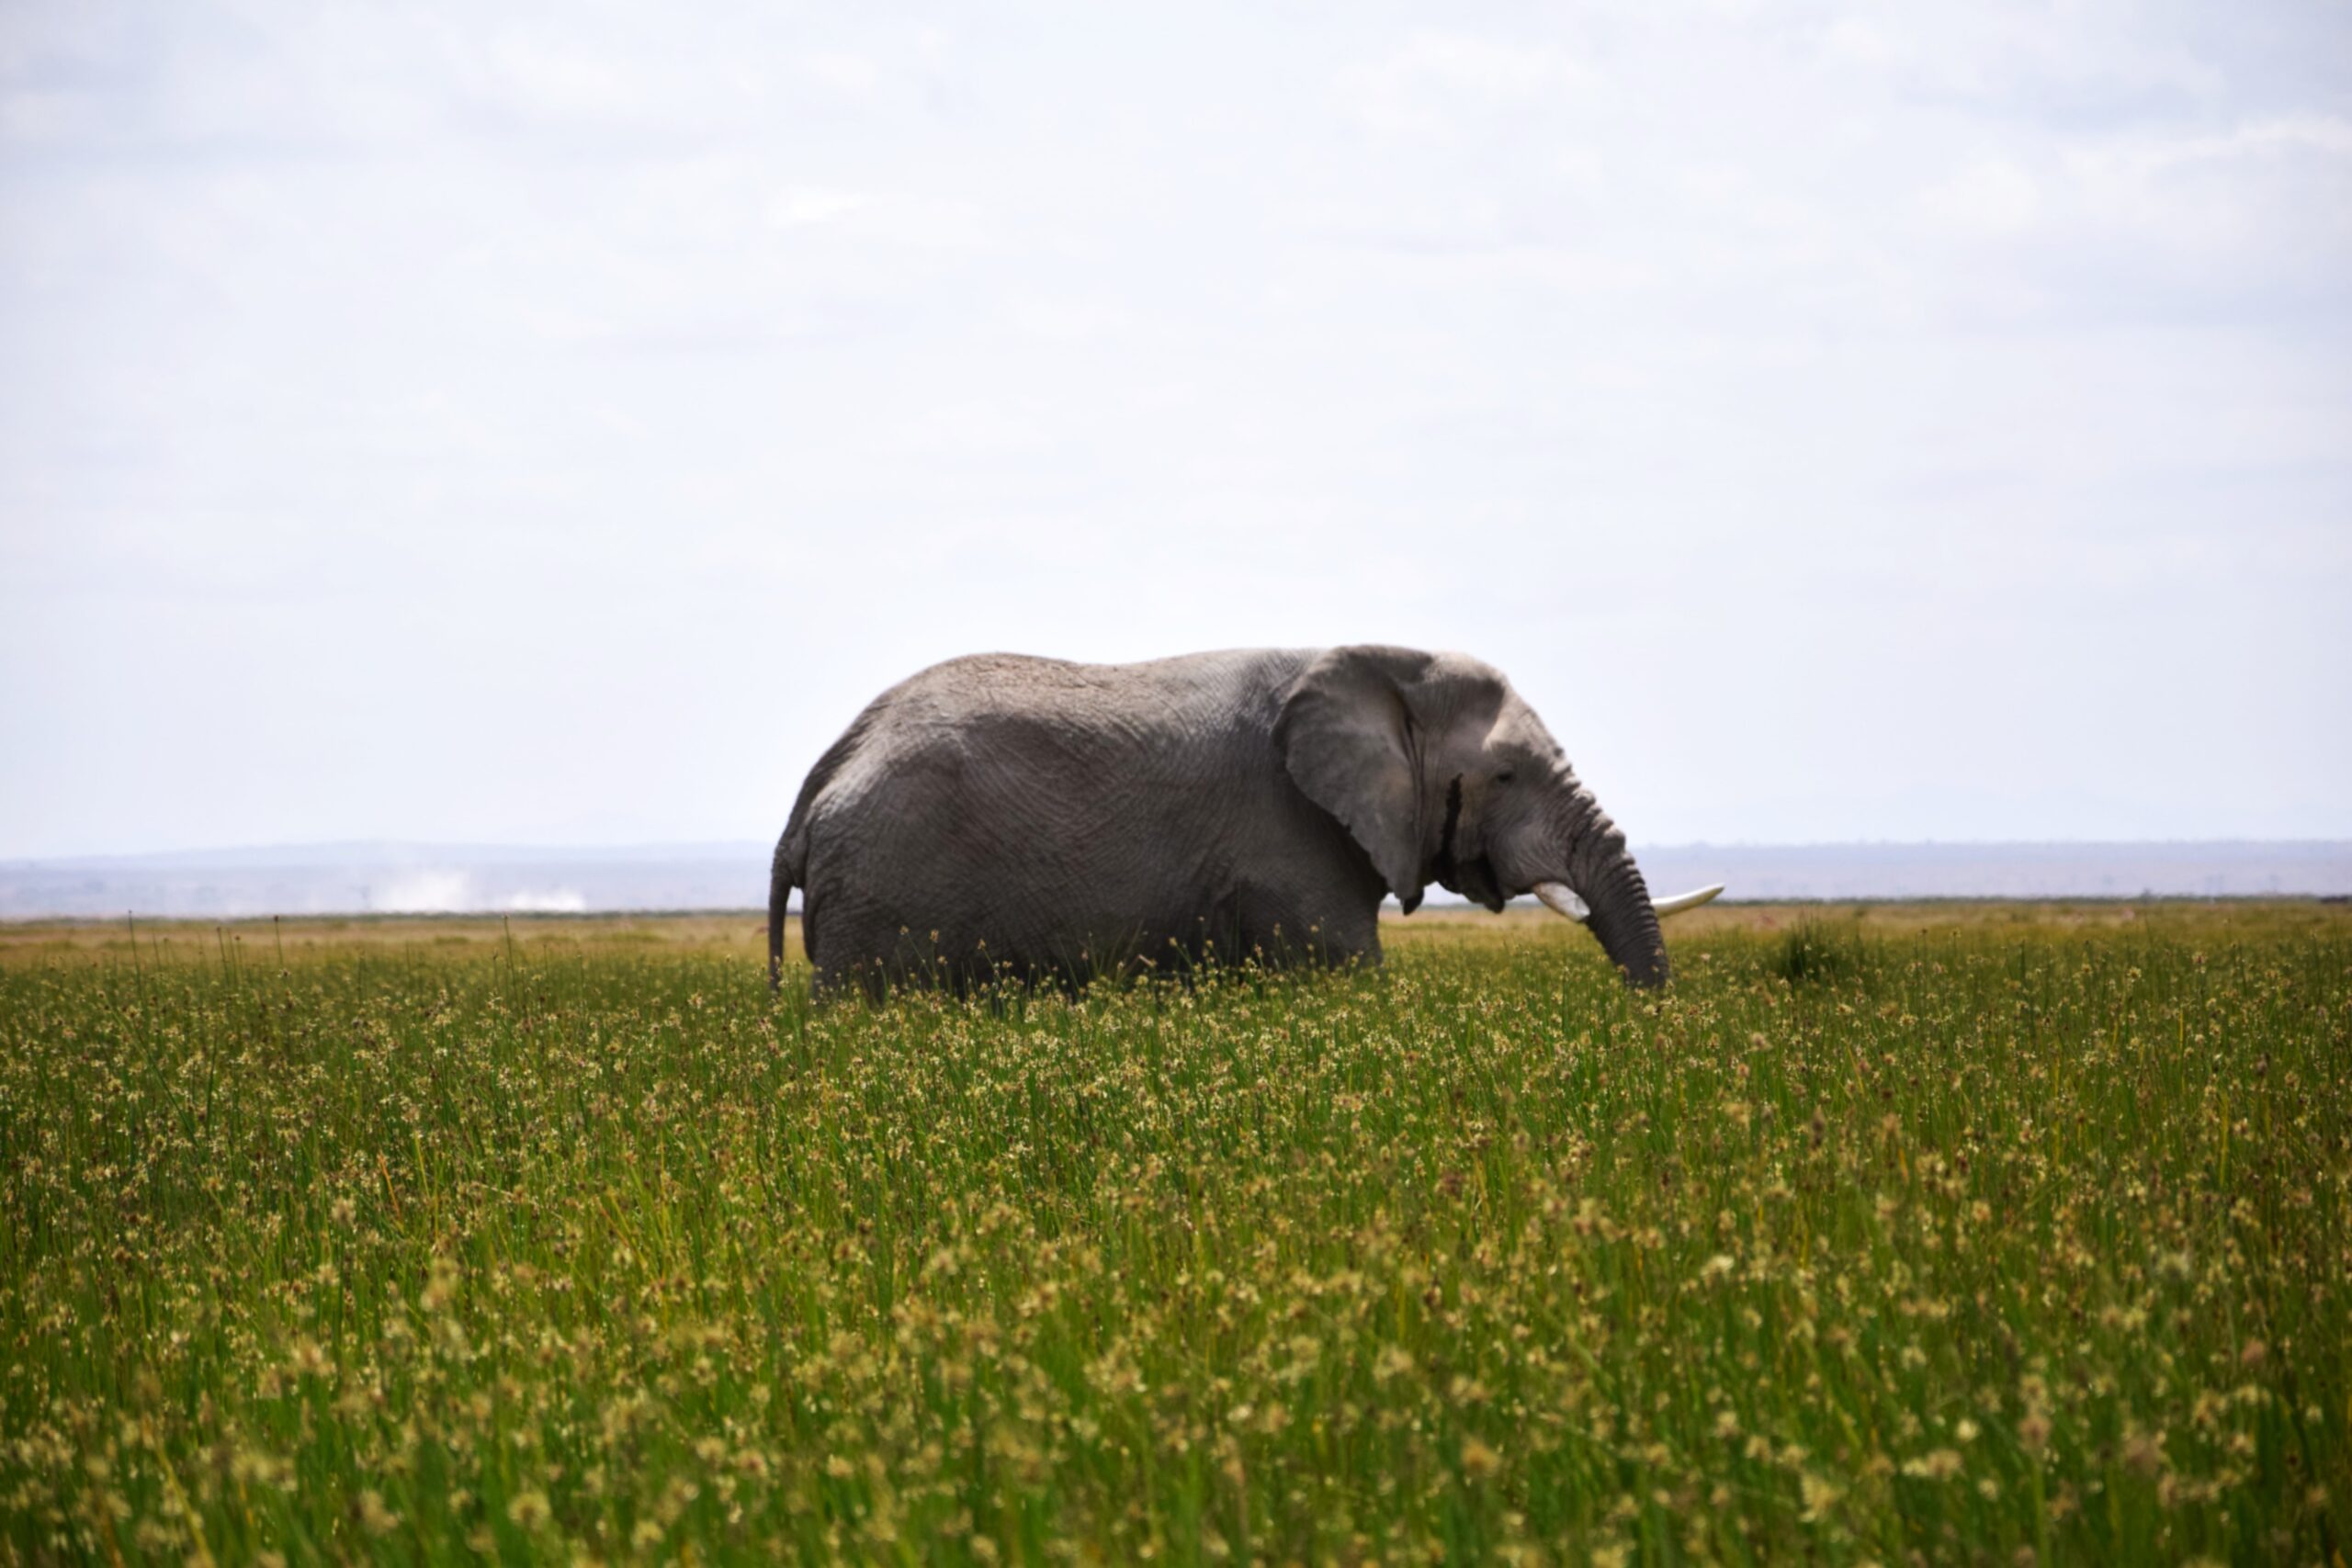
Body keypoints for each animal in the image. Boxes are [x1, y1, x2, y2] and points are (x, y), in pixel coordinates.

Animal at [767, 646, 1719, 996]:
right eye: (1505, 776)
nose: (1644, 1018)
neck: (1379, 660)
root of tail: (819, 782)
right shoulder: (1291, 838)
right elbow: (1346, 971)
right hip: (881, 893)